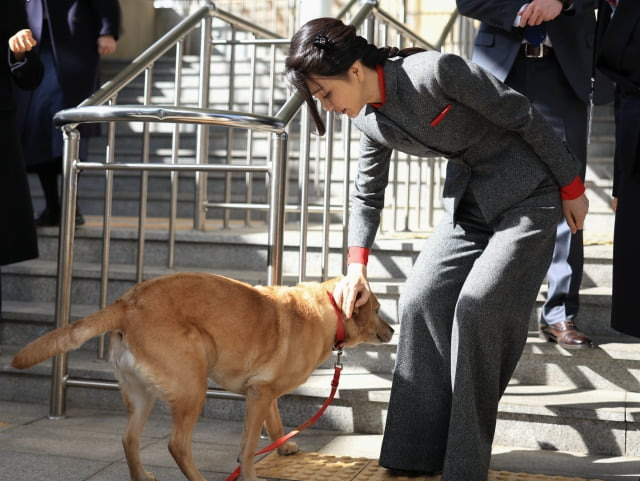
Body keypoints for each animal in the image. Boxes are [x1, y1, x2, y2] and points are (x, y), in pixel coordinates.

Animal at [10, 272, 392, 478]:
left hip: (142, 394)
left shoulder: (261, 392)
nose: (391, 330)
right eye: (377, 308)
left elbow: (273, 422)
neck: (330, 309)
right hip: (192, 385)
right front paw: (251, 473)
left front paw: (283, 447)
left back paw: (140, 476)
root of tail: (127, 303)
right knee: (177, 444)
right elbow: (249, 446)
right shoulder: (260, 393)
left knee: (129, 439)